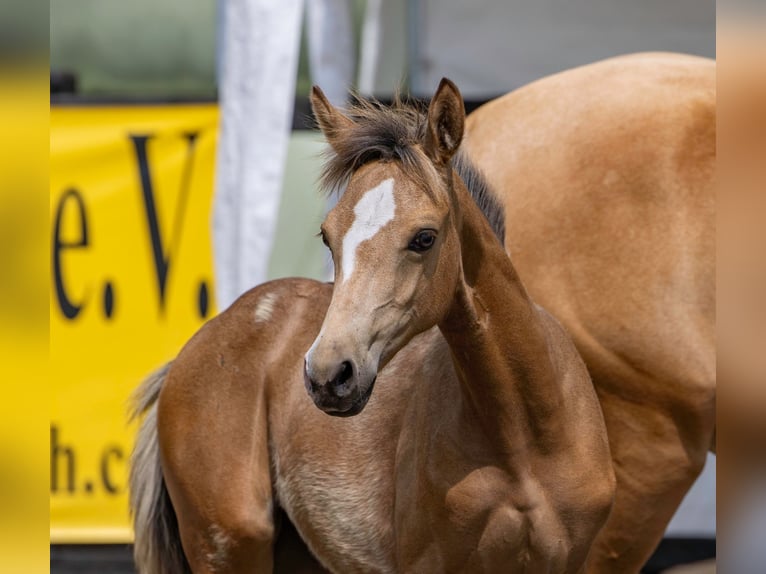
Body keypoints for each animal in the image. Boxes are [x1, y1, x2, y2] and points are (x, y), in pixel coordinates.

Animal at [130, 79, 615, 573]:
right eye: (327, 236)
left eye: (424, 237)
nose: (329, 374)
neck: (526, 440)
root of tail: (195, 349)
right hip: (231, 546)